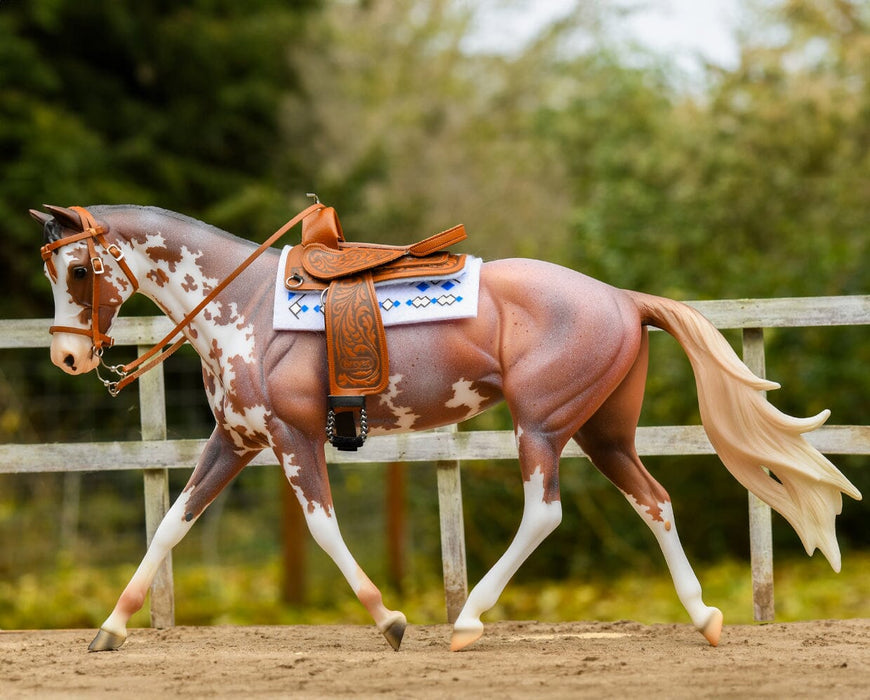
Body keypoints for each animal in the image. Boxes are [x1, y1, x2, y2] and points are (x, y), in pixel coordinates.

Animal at [30, 205, 860, 652]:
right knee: (653, 500)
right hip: (603, 434)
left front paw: (391, 619)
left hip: (541, 428)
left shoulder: (294, 440)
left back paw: (465, 619)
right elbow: (171, 523)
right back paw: (706, 617)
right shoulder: (234, 440)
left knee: (545, 512)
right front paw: (111, 627)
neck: (245, 306)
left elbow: (323, 527)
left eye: (79, 272)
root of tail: (624, 298)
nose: (69, 357)